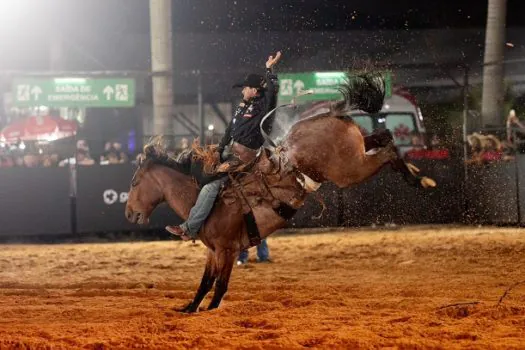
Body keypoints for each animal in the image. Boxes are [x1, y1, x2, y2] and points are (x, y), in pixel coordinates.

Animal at [124, 72, 434, 314]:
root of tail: (330, 112)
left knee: (387, 150)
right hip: (357, 149)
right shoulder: (214, 251)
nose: (128, 213)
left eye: (135, 182)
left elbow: (220, 286)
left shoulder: (226, 249)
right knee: (384, 137)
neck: (202, 199)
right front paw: (189, 308)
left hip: (350, 169)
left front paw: (208, 310)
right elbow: (206, 283)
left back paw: (419, 180)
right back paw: (416, 173)